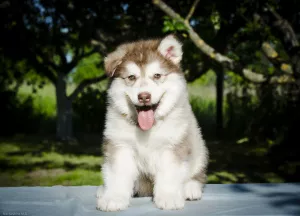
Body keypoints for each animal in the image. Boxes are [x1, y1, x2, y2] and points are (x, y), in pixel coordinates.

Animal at [96, 35, 209, 211]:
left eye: (157, 76)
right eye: (131, 77)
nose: (144, 96)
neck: (145, 129)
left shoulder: (171, 146)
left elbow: (169, 173)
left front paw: (169, 197)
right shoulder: (120, 145)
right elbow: (118, 173)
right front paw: (113, 198)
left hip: (198, 146)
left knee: (197, 173)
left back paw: (190, 188)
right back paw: (103, 190)